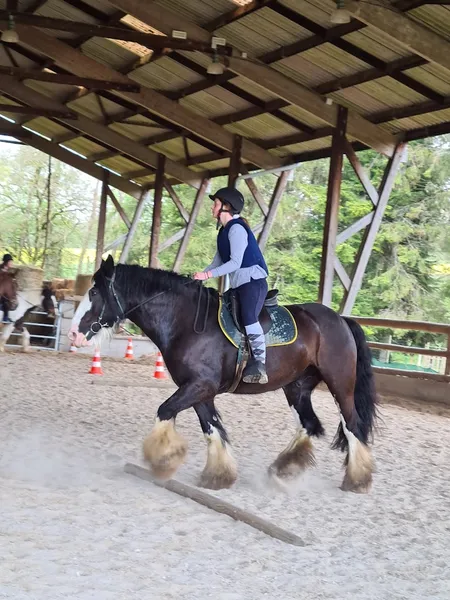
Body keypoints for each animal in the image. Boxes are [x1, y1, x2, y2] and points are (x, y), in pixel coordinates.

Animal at [70, 255, 378, 494]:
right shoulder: (198, 390)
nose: (74, 333)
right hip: (297, 387)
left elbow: (165, 411)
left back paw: (357, 480)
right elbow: (212, 428)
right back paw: (283, 470)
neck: (186, 322)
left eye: (94, 293)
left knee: (351, 425)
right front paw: (218, 475)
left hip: (341, 385)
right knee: (310, 424)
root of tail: (340, 319)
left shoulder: (199, 385)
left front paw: (164, 460)